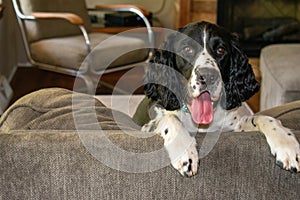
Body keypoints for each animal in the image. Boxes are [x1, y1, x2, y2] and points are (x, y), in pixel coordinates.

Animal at [141, 20, 300, 177]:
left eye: (221, 50)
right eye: (187, 49)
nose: (208, 76)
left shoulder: (233, 127)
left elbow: (263, 118)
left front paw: (287, 144)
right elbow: (170, 118)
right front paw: (185, 152)